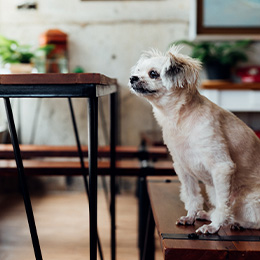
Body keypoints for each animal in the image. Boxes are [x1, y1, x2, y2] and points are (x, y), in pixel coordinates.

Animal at [129, 45, 260, 235]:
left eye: (153, 73)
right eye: (138, 71)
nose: (132, 78)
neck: (180, 120)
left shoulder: (222, 167)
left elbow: (223, 205)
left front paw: (214, 227)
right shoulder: (183, 168)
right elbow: (192, 196)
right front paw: (191, 216)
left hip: (248, 201)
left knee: (243, 217)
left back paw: (235, 223)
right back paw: (207, 214)